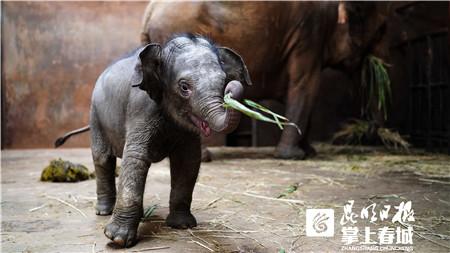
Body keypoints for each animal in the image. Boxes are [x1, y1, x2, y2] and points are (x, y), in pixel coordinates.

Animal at [55, 34, 250, 247]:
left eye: (224, 82)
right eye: (184, 87)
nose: (232, 89)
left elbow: (188, 161)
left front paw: (182, 225)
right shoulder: (141, 106)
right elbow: (136, 157)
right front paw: (118, 239)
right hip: (95, 115)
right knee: (102, 159)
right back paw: (104, 211)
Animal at [142, 1, 390, 160]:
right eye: (380, 32)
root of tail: (149, 11)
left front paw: (309, 152)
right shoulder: (309, 33)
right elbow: (305, 86)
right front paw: (293, 156)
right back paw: (205, 158)